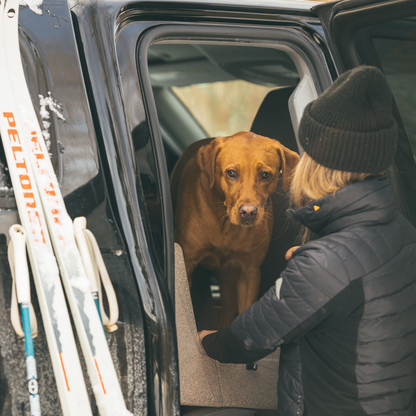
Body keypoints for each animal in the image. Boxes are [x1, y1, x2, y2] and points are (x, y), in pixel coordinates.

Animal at [171, 132, 300, 328]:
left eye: (265, 175)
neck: (227, 226)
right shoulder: (187, 263)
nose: (248, 212)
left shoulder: (249, 272)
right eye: (231, 173)